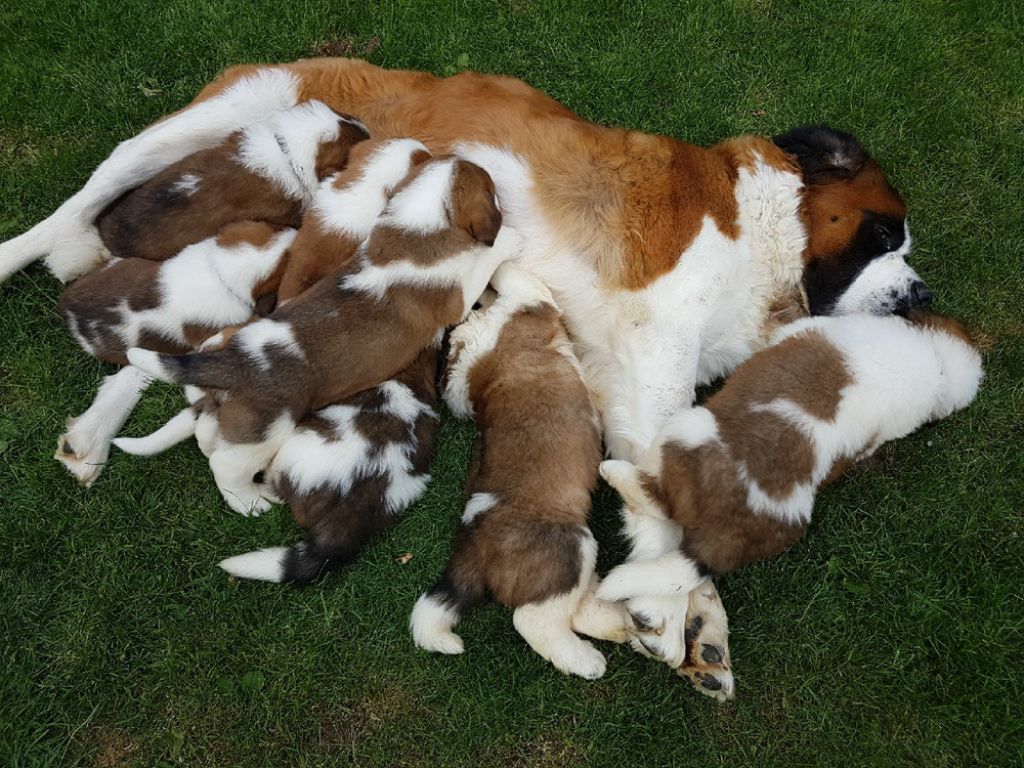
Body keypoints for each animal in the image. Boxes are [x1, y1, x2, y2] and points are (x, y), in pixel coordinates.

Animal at [128, 154, 512, 518]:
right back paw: (250, 501)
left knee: (207, 437)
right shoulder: (457, 296)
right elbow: (485, 260)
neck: (415, 234)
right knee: (224, 465)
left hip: (228, 415)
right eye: (493, 190)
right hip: (263, 431)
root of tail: (229, 360)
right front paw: (509, 239)